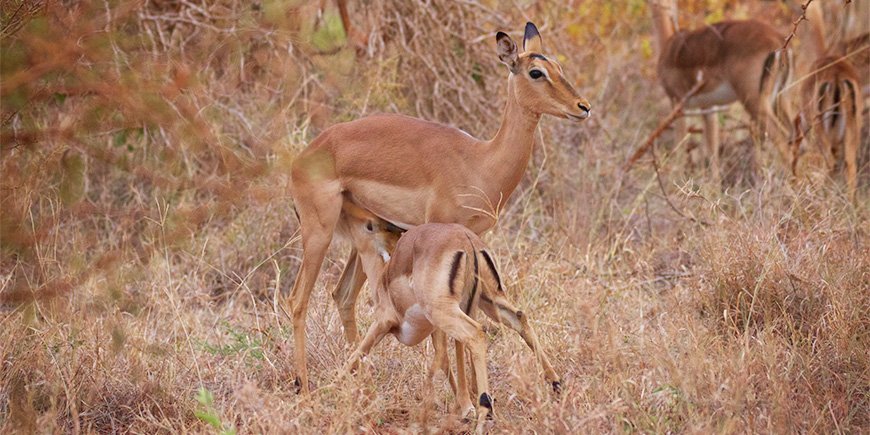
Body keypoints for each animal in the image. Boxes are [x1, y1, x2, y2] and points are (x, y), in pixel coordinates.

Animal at [340, 216, 560, 430]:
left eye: (369, 226)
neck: (384, 277)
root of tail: (467, 240)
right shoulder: (435, 329)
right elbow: (444, 357)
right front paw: (463, 407)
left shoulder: (383, 322)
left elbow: (356, 355)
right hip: (488, 301)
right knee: (519, 318)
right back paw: (555, 383)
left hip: (444, 310)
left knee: (476, 333)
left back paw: (484, 411)